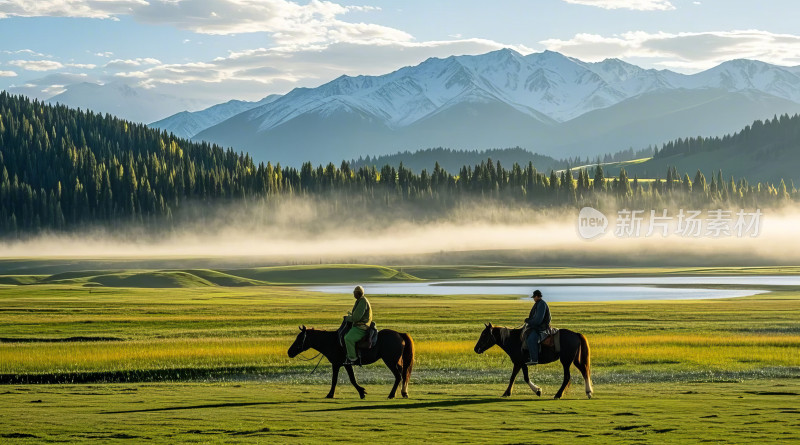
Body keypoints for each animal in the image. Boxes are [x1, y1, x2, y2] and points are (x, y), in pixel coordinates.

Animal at [288, 322, 416, 398]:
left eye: (300, 338)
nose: (289, 352)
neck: (331, 341)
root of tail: (399, 334)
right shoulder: (345, 364)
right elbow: (351, 378)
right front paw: (362, 392)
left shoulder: (338, 364)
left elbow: (341, 379)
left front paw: (330, 394)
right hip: (396, 362)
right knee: (403, 374)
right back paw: (403, 393)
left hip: (390, 361)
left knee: (398, 376)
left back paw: (391, 394)